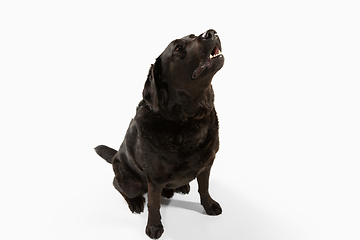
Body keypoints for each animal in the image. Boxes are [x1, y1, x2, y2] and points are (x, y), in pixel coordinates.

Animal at [95, 29, 225, 239]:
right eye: (178, 48)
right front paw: (154, 226)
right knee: (118, 185)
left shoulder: (207, 164)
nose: (211, 32)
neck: (188, 119)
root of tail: (115, 156)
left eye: (193, 35)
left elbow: (204, 188)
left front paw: (209, 205)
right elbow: (154, 205)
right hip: (130, 180)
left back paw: (181, 186)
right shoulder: (155, 179)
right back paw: (135, 202)